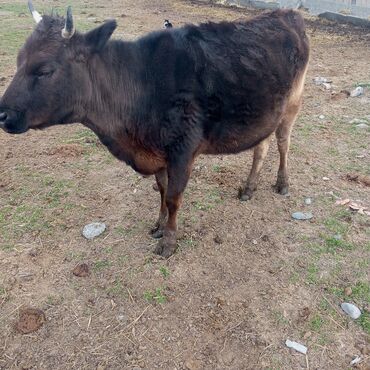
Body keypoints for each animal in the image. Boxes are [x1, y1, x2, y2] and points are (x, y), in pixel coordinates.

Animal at [0, 2, 310, 258]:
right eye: (18, 61)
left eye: (44, 70)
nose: (2, 114)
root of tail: (287, 13)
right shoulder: (157, 152)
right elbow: (161, 190)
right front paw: (159, 226)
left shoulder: (183, 150)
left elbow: (173, 198)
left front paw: (169, 242)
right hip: (266, 112)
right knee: (261, 147)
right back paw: (249, 187)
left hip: (293, 103)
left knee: (283, 143)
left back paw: (282, 183)